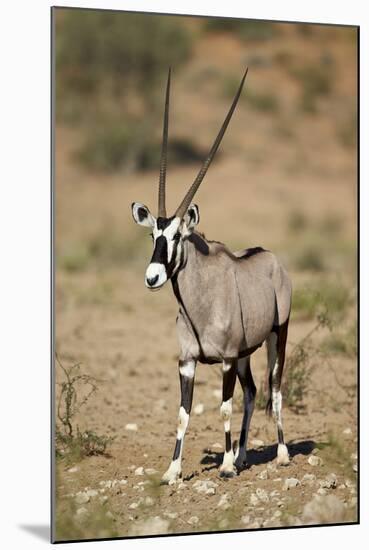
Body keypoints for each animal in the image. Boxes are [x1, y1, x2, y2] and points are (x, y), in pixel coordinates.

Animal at [130, 68, 290, 484]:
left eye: (177, 237)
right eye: (153, 235)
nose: (153, 277)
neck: (199, 303)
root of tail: (272, 259)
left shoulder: (228, 359)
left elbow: (223, 408)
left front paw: (226, 465)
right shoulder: (187, 361)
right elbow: (183, 414)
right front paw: (172, 471)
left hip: (277, 335)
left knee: (274, 387)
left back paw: (280, 454)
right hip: (249, 353)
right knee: (252, 392)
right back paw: (246, 454)